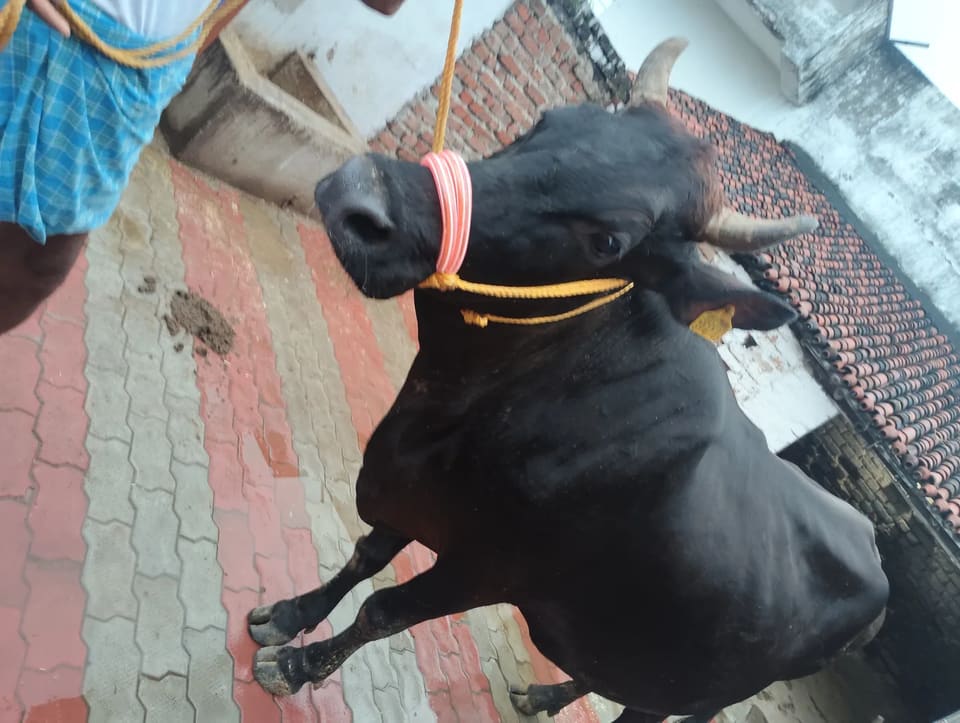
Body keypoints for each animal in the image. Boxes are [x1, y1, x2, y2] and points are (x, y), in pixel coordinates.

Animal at [246, 38, 889, 722]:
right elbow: (364, 557)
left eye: (609, 240)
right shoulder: (408, 494)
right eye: (546, 120)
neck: (449, 406)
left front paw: (297, 665)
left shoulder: (485, 569)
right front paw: (286, 616)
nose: (359, 196)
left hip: (695, 683)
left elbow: (382, 610)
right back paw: (544, 693)